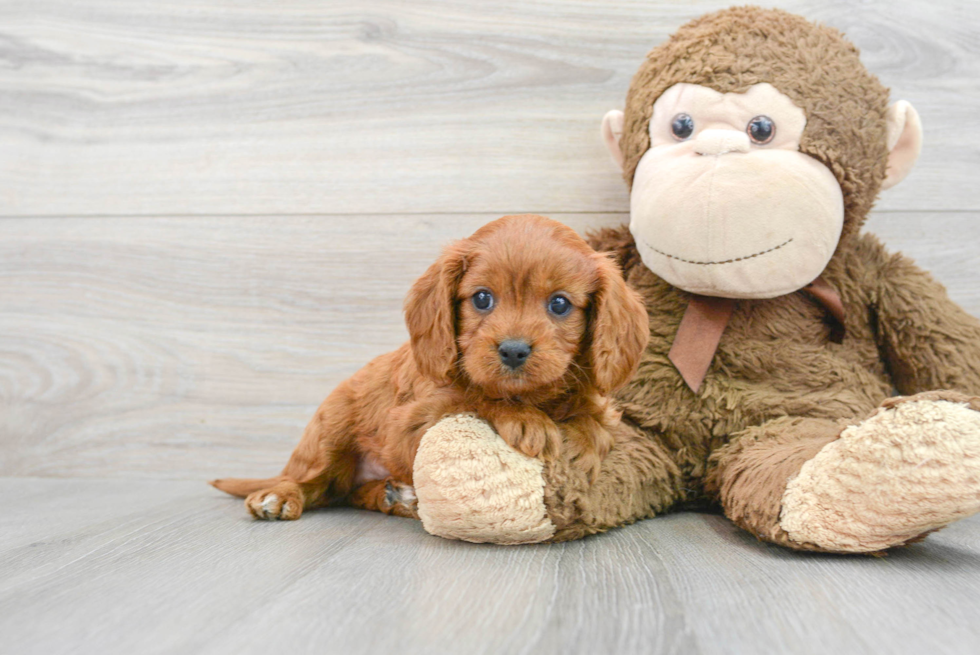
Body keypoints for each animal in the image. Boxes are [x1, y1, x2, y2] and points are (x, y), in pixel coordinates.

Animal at [211, 215, 648, 524]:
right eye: (483, 299)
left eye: (559, 304)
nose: (513, 350)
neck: (533, 395)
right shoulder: (408, 423)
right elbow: (472, 395)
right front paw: (525, 420)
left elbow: (595, 418)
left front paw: (581, 441)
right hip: (327, 435)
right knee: (312, 482)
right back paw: (279, 496)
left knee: (345, 492)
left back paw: (393, 496)